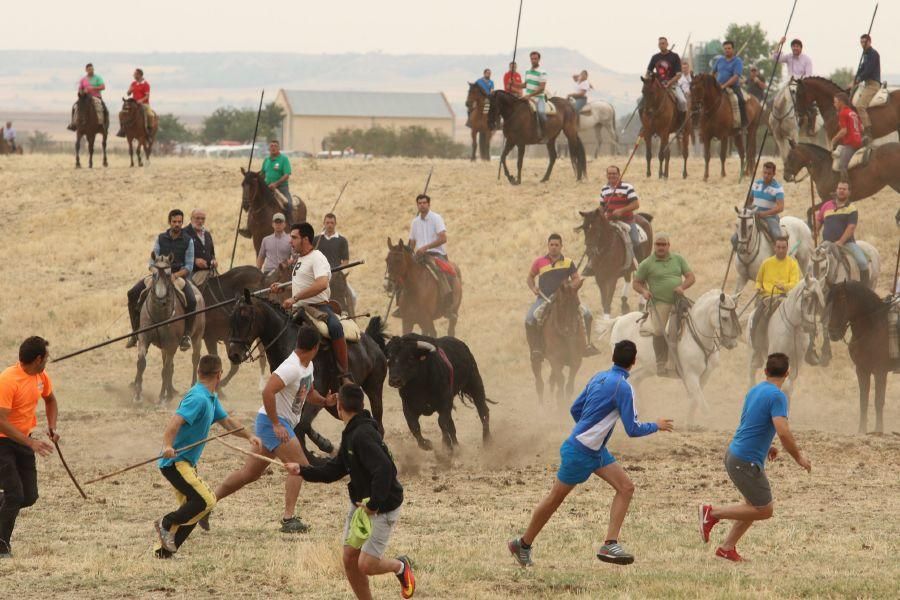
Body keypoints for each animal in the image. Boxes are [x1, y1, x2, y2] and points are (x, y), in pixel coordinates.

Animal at [132, 253, 206, 404]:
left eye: (168, 274)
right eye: (154, 274)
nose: (161, 299)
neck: (159, 315)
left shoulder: (171, 345)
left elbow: (165, 370)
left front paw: (161, 399)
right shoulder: (144, 339)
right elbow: (142, 362)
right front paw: (137, 396)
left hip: (197, 337)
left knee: (195, 359)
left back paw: (190, 387)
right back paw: (170, 393)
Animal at [225, 290, 386, 460]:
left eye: (245, 317)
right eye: (231, 318)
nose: (234, 354)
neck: (292, 345)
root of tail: (371, 342)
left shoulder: (313, 397)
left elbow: (302, 425)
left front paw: (320, 450)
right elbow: (301, 426)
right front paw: (325, 445)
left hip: (374, 388)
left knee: (378, 423)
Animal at [600, 290, 740, 422]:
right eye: (725, 318)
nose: (732, 343)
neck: (697, 336)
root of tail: (619, 319)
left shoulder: (705, 375)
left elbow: (696, 401)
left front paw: (690, 422)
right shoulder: (691, 376)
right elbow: (703, 405)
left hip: (650, 367)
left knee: (635, 378)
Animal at [828, 278, 896, 434]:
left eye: (842, 299)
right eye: (829, 301)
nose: (833, 333)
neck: (872, 328)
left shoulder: (880, 371)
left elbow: (878, 401)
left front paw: (878, 430)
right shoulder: (861, 370)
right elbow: (863, 401)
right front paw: (861, 430)